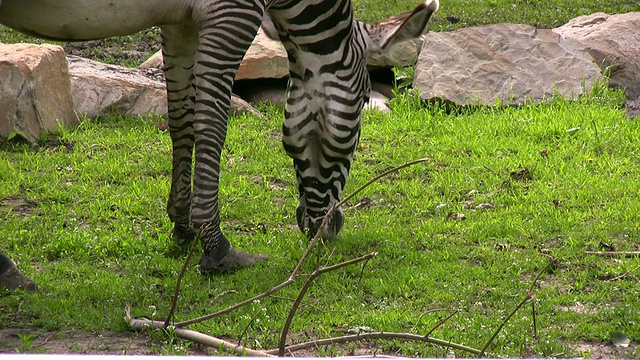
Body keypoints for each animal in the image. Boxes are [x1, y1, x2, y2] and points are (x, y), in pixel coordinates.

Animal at [0, 0, 438, 272]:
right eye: (364, 101)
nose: (329, 230)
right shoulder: (231, 15)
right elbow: (212, 123)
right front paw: (217, 247)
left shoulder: (180, 21)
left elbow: (181, 119)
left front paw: (182, 227)